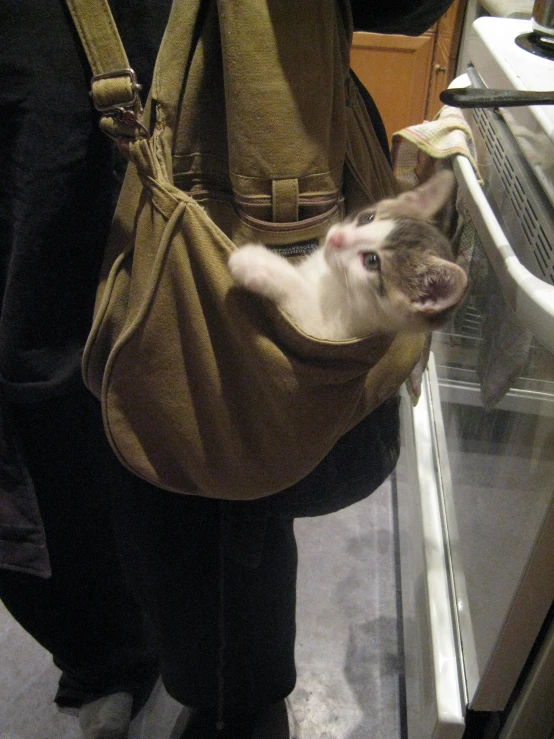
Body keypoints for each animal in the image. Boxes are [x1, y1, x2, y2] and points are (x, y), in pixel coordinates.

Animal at [227, 171, 466, 342]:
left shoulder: (328, 331)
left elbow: (300, 295)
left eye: (372, 261)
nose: (336, 238)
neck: (333, 278)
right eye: (367, 217)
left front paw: (255, 263)